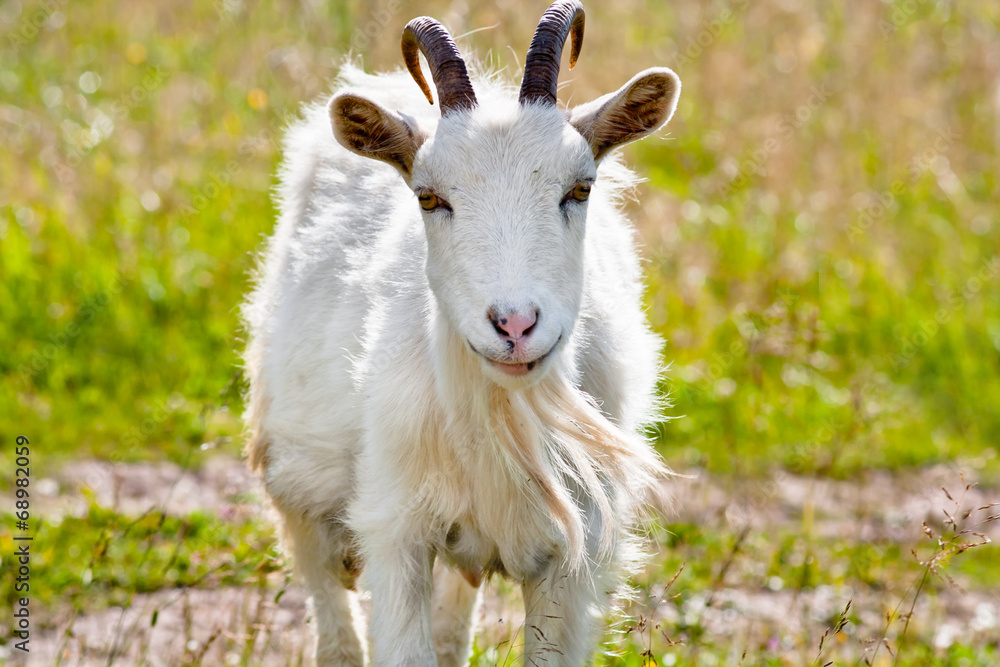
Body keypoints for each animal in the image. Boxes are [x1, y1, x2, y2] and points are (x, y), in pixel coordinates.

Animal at [242, 1, 681, 664]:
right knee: (330, 610)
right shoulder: (394, 530)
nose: (515, 324)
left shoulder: (574, 555)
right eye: (429, 197)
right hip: (292, 467)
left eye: (580, 188)